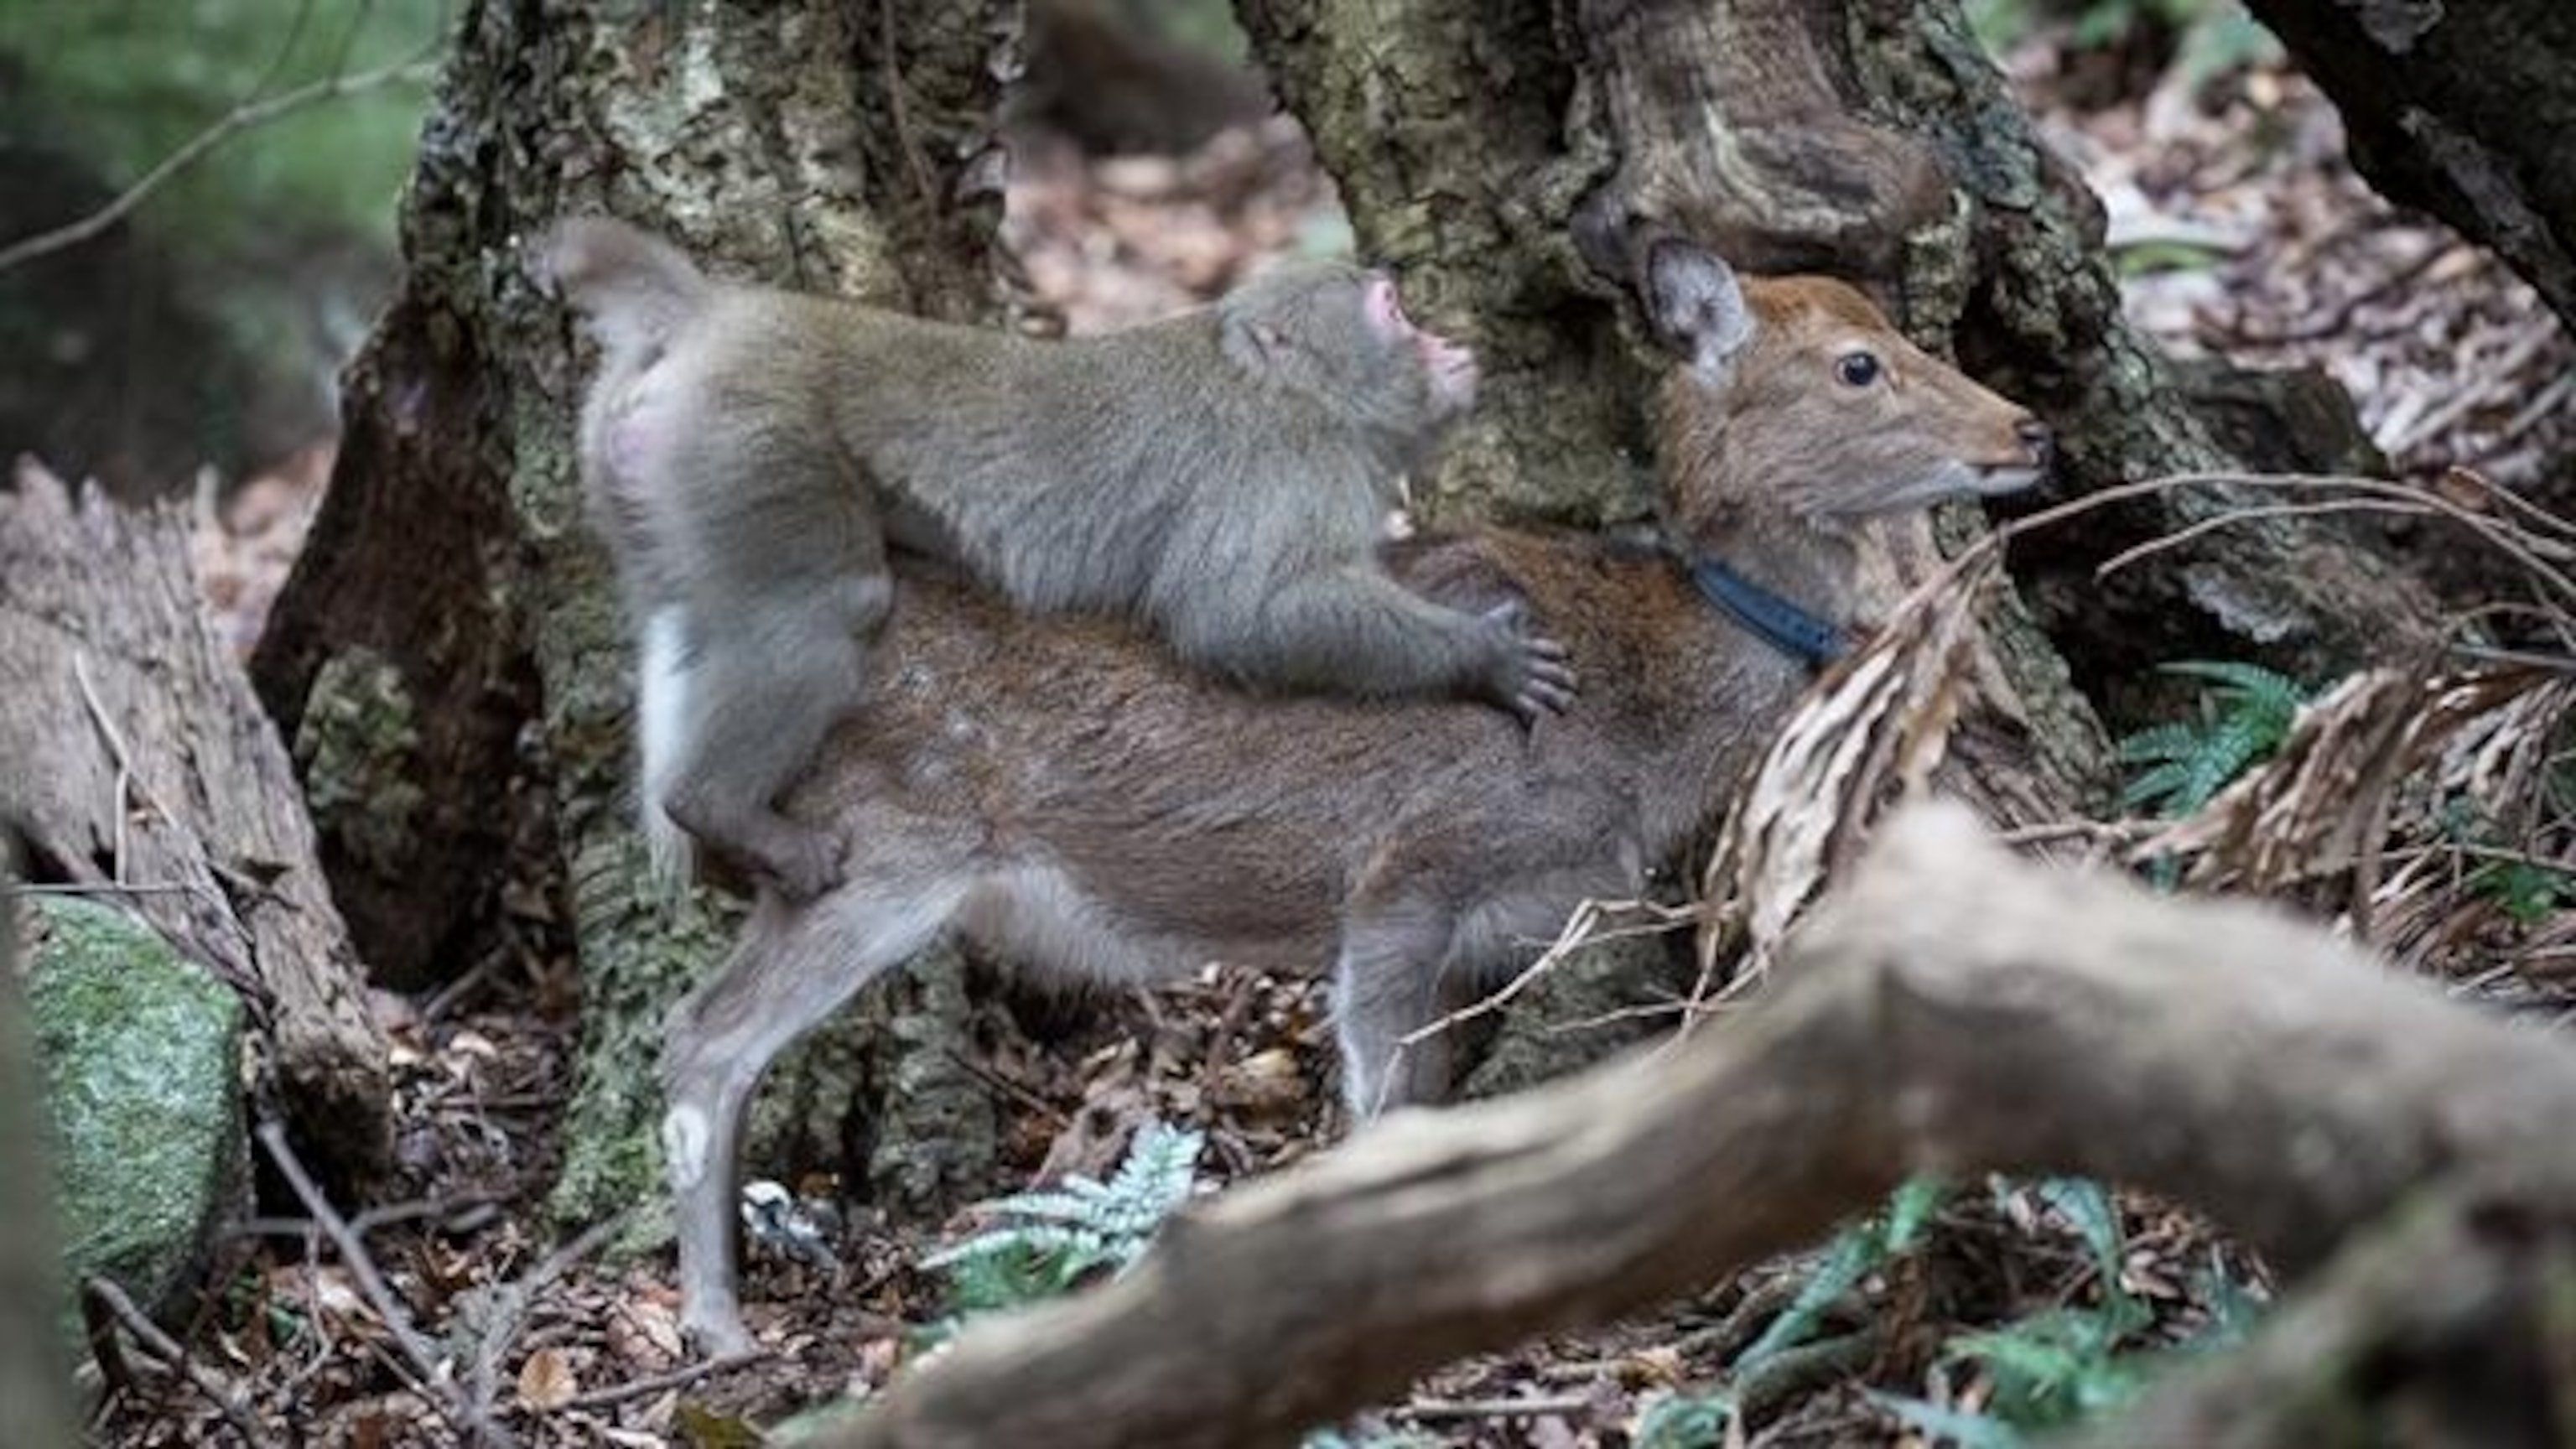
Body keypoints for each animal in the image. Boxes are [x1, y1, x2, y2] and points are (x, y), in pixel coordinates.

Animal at [543, 216, 1566, 891]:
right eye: (1391, 309)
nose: (1447, 341)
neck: (1297, 393)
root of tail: (716, 317)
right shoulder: (1284, 464)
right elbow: (1238, 614)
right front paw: (1484, 654)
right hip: (750, 440)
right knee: (829, 607)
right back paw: (721, 808)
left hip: (643, 467)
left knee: (686, 617)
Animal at [654, 231, 2060, 1351]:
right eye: (1860, 365)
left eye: (1891, 327)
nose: (2027, 431)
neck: (1633, 721)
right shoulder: (1408, 871)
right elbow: (1378, 1116)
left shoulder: (1476, 926)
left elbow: (1427, 1117)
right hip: (882, 844)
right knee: (704, 1037)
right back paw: (718, 1329)